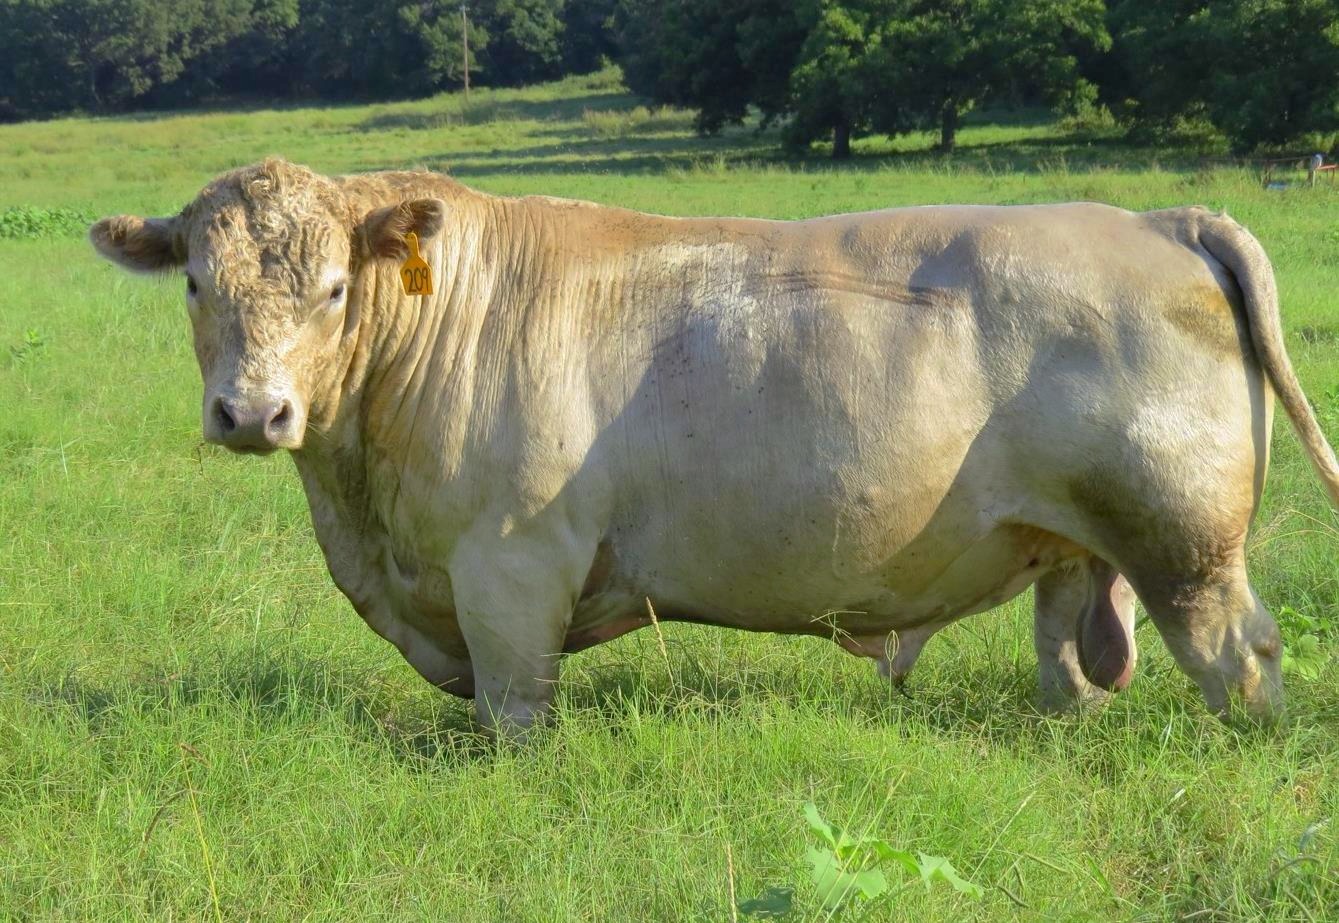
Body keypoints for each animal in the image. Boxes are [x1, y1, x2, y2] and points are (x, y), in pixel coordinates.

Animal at [90, 158, 1339, 738]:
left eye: (336, 288)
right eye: (195, 282)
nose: (252, 412)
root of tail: (1151, 218)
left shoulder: (509, 567)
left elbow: (514, 711)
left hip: (1182, 537)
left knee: (1239, 652)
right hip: (1074, 539)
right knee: (1073, 661)